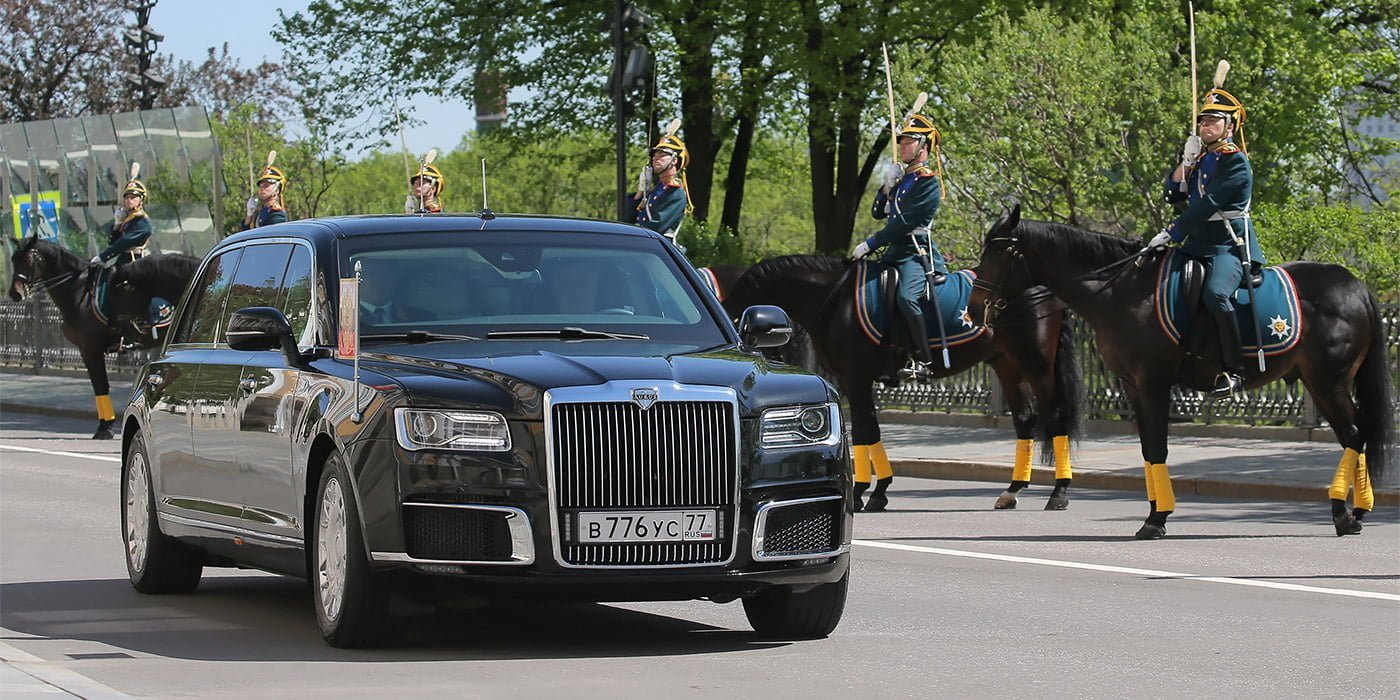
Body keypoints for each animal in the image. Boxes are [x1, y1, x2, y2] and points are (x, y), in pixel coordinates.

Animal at [8, 235, 201, 436]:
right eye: (13, 259)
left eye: (27, 259)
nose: (14, 293)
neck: (78, 291)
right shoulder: (86, 350)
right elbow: (99, 386)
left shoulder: (90, 348)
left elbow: (100, 385)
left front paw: (105, 428)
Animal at [722, 254, 1080, 512]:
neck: (835, 300)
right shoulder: (852, 380)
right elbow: (868, 432)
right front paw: (877, 490)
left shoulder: (856, 378)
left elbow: (864, 431)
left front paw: (865, 491)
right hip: (1006, 363)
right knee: (1025, 420)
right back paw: (1012, 491)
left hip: (1036, 363)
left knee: (1054, 416)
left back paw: (1059, 492)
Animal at [968, 204, 1394, 537]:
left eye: (998, 252)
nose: (973, 310)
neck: (1123, 290)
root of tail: (1355, 284)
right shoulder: (1133, 386)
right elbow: (1147, 449)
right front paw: (1156, 512)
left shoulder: (1153, 383)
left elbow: (1157, 446)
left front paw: (1156, 519)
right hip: (1322, 382)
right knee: (1355, 435)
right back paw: (1357, 511)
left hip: (1328, 381)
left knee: (1354, 434)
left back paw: (1343, 513)